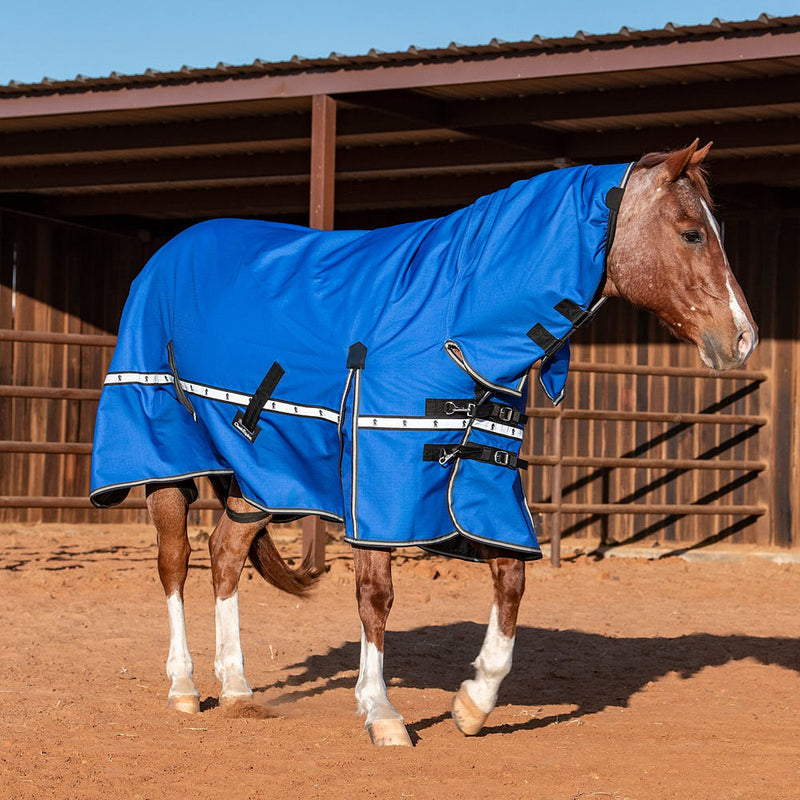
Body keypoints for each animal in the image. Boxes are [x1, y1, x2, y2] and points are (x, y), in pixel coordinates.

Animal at [90, 140, 757, 747]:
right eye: (692, 233)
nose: (743, 338)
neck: (454, 322)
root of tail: (165, 255)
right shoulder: (377, 478)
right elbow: (376, 596)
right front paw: (382, 713)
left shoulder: (479, 479)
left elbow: (512, 580)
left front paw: (474, 702)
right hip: (165, 459)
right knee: (175, 561)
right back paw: (184, 688)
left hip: (261, 474)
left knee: (225, 554)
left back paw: (236, 690)